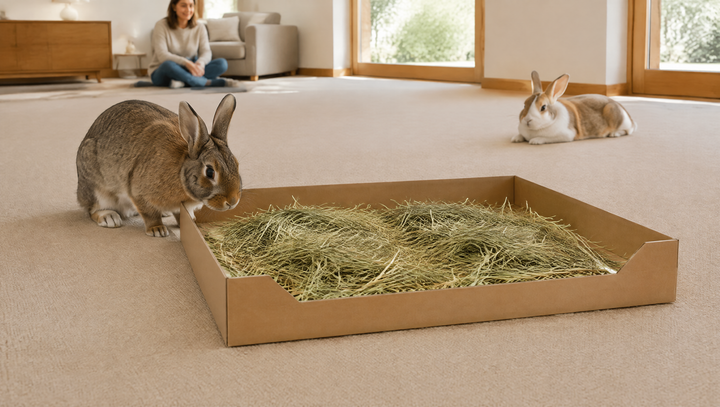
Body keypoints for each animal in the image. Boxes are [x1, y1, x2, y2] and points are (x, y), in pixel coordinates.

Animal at [76, 94, 242, 237]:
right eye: (210, 172)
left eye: (236, 164)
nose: (233, 202)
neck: (181, 170)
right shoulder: (139, 193)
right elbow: (149, 213)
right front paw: (157, 230)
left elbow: (179, 214)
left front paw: (188, 223)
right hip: (97, 189)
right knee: (92, 210)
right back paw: (109, 217)